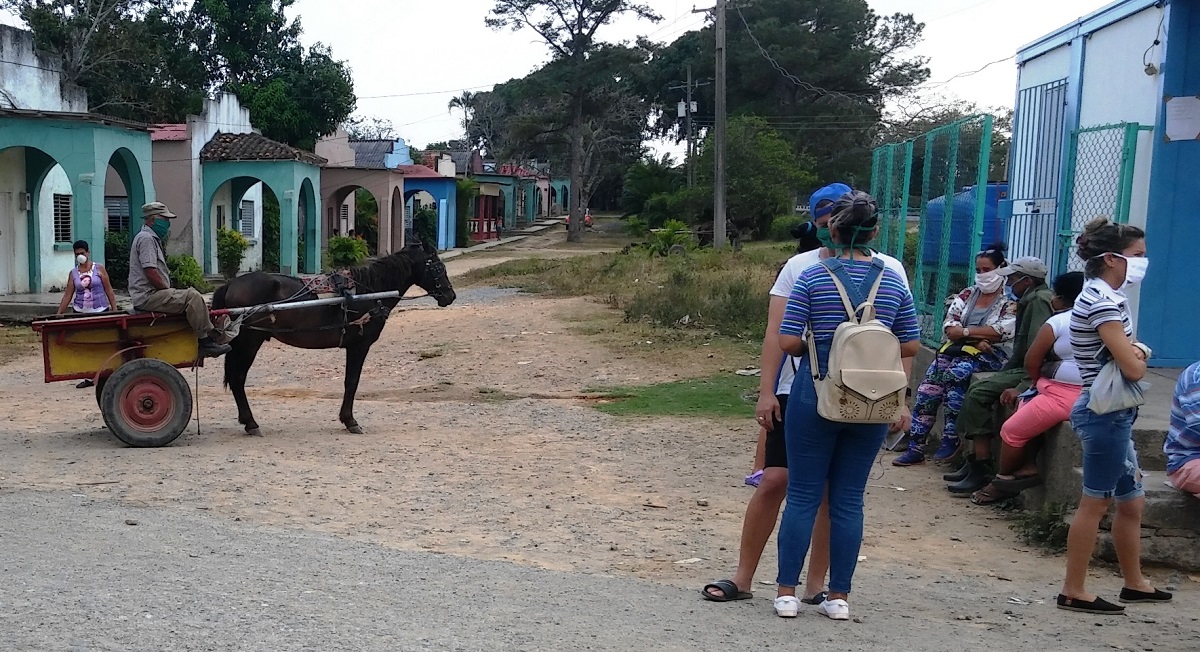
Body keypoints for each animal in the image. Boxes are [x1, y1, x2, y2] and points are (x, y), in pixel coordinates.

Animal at [211, 241, 453, 439]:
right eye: (438, 268)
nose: (450, 296)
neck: (368, 292)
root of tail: (231, 284)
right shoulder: (359, 346)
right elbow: (352, 382)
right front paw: (350, 420)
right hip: (249, 342)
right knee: (238, 378)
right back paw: (251, 423)